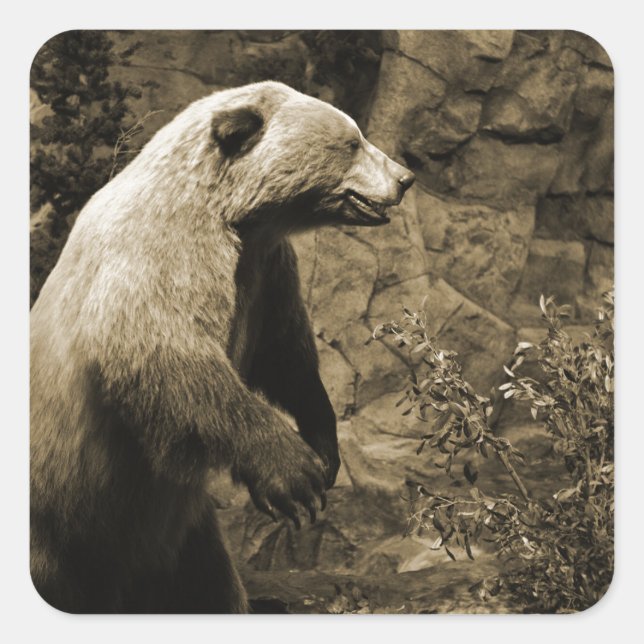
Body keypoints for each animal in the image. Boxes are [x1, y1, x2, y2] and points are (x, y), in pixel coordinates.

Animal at [30, 80, 415, 613]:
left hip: (179, 539)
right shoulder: (160, 250)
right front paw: (294, 476)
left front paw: (324, 448)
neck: (236, 216)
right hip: (58, 523)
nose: (405, 177)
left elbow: (285, 355)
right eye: (351, 142)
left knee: (205, 586)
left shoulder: (266, 271)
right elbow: (169, 353)